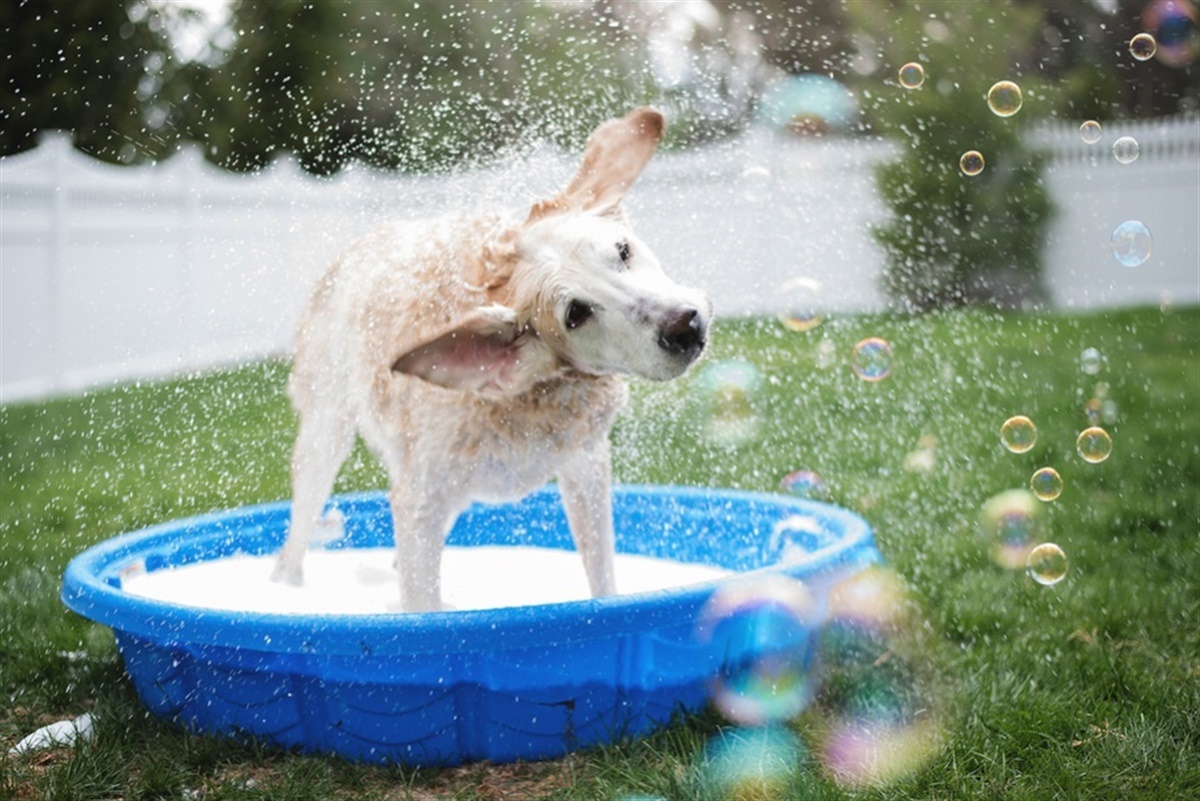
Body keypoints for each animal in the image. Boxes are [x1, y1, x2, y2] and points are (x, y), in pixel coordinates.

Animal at [272, 107, 710, 613]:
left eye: (623, 250)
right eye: (576, 314)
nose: (684, 326)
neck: (527, 397)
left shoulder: (586, 467)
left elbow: (602, 576)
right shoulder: (420, 502)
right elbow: (422, 608)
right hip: (325, 432)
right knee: (296, 539)